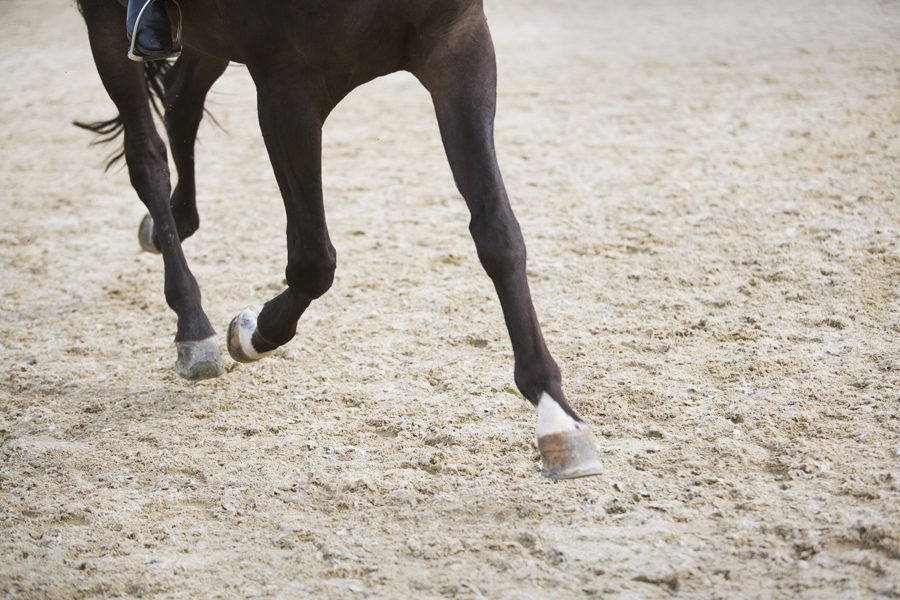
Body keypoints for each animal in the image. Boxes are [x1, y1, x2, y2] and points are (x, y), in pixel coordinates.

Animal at [74, 0, 600, 478]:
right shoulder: (287, 84)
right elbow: (313, 260)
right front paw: (252, 333)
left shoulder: (458, 45)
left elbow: (497, 233)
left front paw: (556, 415)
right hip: (107, 23)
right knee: (147, 155)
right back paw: (192, 327)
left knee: (181, 102)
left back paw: (171, 227)